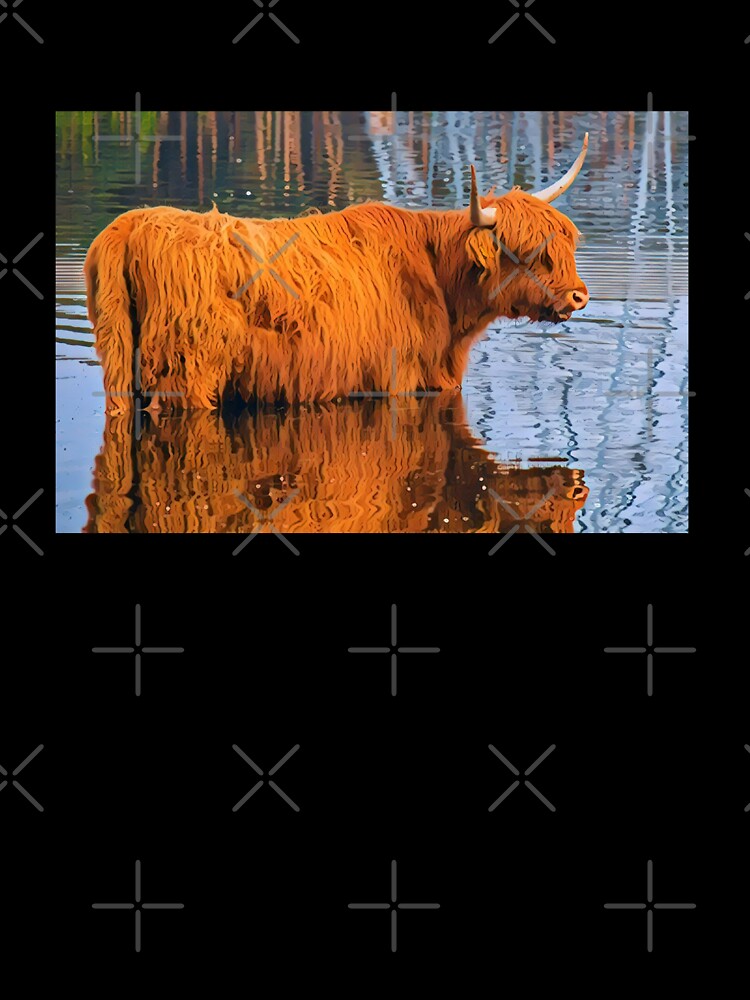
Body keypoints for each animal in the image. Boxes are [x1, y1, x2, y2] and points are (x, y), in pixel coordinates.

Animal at [84, 134, 590, 409]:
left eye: (565, 244)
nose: (579, 296)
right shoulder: (399, 379)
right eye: (525, 252)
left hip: (121, 366)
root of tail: (132, 224)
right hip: (188, 374)